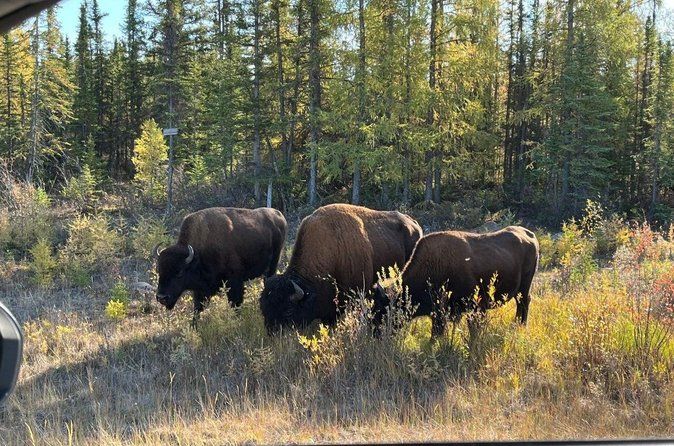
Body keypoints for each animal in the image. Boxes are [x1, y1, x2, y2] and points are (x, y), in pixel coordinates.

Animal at [154, 207, 287, 320]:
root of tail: (279, 215)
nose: (161, 297)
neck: (198, 254)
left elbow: (235, 303)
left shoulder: (234, 281)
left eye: (180, 272)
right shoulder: (201, 289)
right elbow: (197, 308)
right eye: (159, 270)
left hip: (273, 264)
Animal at [373, 226, 539, 337]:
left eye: (382, 310)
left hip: (524, 287)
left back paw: (521, 325)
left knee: (524, 302)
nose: (374, 333)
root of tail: (529, 235)